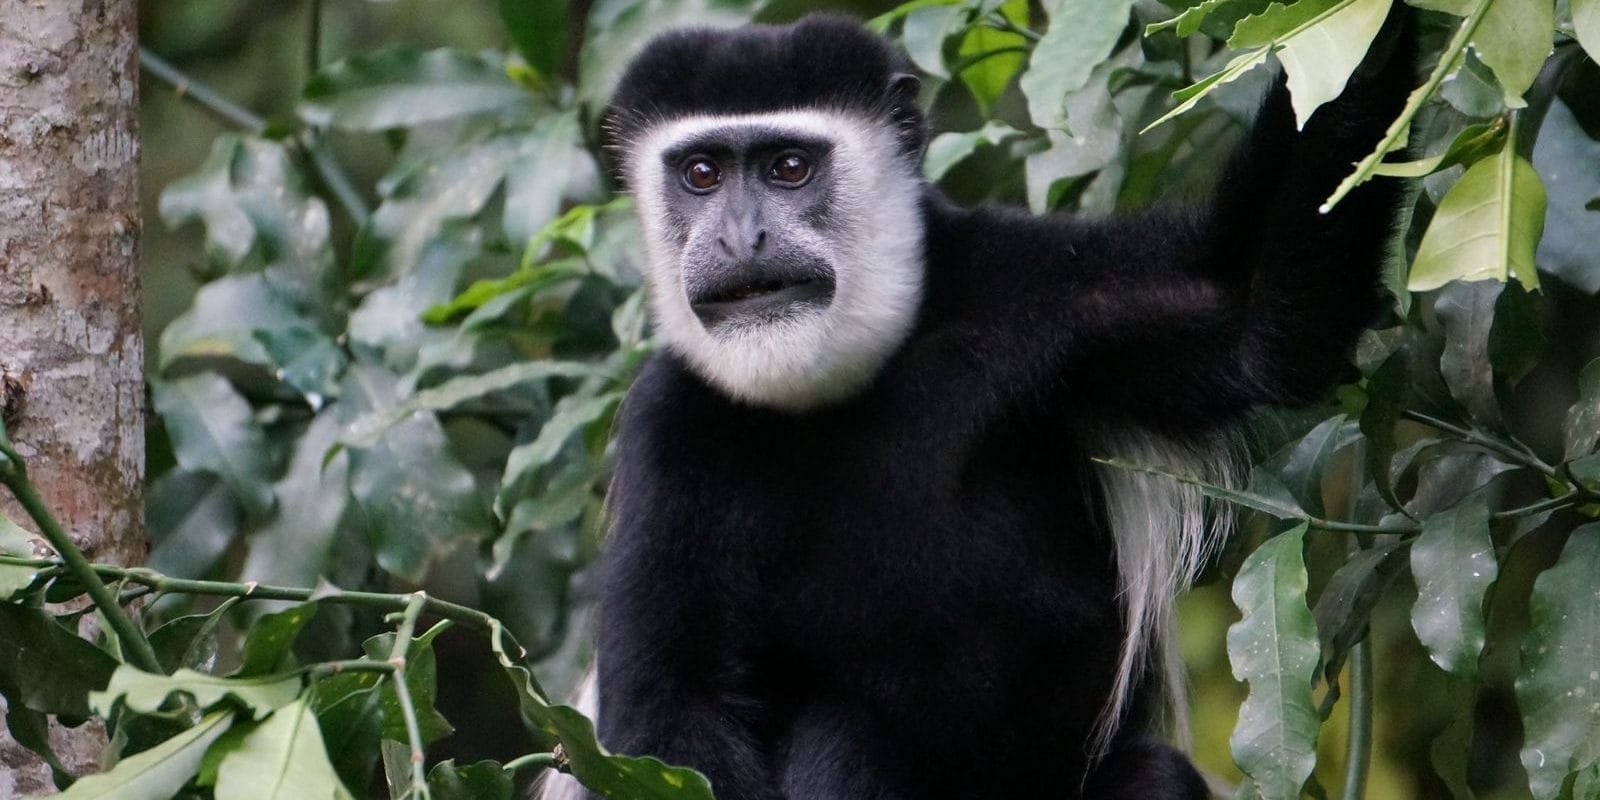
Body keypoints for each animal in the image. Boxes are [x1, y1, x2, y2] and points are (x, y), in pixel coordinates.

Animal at [545, 11, 1415, 800]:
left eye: (789, 167)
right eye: (701, 174)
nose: (739, 240)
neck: (842, 385)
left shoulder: (1047, 286)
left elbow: (1250, 313)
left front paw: (1378, 30)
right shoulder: (670, 431)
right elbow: (671, 708)